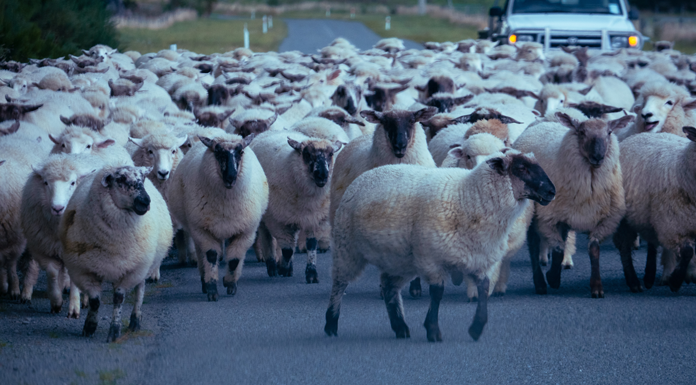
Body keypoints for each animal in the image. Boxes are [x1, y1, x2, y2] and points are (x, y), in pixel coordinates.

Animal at [19, 154, 98, 316]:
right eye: (46, 182)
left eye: (73, 183)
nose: (58, 208)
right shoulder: (43, 247)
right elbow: (52, 273)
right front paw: (56, 302)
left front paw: (74, 307)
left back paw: (86, 300)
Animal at [324, 148, 556, 340]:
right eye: (522, 168)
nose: (551, 192)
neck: (469, 197)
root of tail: (366, 175)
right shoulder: (431, 259)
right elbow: (437, 293)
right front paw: (433, 330)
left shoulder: (479, 257)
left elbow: (483, 289)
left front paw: (476, 328)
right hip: (347, 247)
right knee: (339, 284)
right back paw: (331, 324)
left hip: (400, 259)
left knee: (389, 287)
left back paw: (400, 327)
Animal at [512, 111, 632, 296]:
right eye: (581, 132)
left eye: (609, 132)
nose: (598, 157)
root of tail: (546, 120)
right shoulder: (547, 218)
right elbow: (558, 249)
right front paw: (553, 278)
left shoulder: (605, 220)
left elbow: (593, 250)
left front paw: (597, 287)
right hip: (534, 212)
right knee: (533, 246)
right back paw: (540, 283)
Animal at [616, 127, 696, 292]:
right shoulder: (675, 224)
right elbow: (687, 252)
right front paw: (675, 281)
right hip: (624, 217)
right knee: (624, 245)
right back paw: (634, 282)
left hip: (650, 216)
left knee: (652, 243)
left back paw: (649, 277)